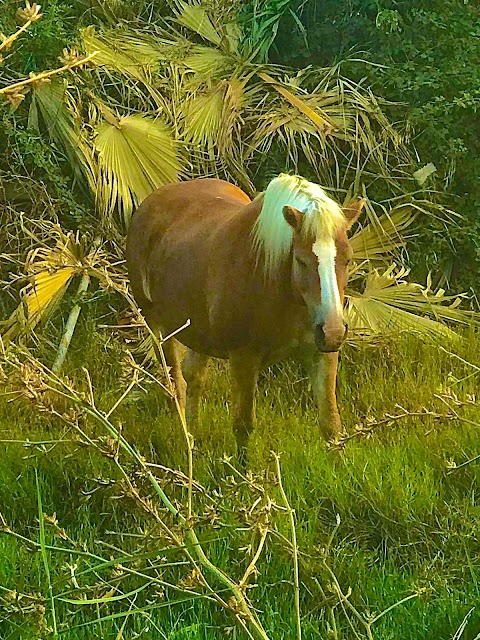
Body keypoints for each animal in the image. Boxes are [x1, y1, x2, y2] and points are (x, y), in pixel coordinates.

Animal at [125, 175, 366, 456]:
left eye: (347, 259)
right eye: (301, 260)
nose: (333, 331)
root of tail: (152, 201)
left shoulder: (322, 354)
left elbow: (331, 425)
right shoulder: (243, 358)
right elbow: (243, 425)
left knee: (194, 377)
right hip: (158, 328)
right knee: (177, 386)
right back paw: (187, 443)